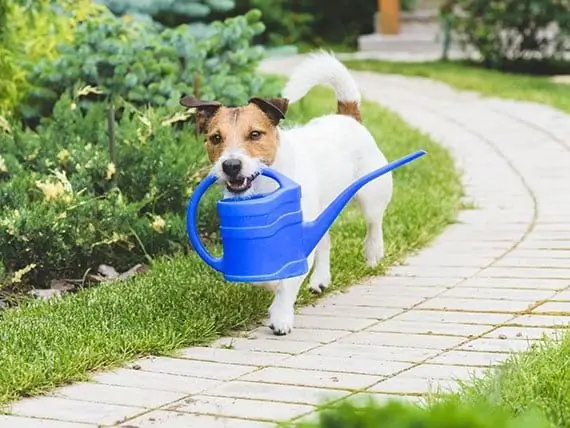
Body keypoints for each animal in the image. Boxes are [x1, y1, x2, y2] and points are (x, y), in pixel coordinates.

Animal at [181, 51, 390, 336]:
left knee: (374, 222)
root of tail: (347, 116)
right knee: (325, 240)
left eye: (254, 134)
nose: (231, 165)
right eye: (215, 138)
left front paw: (280, 316)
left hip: (371, 193)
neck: (263, 187)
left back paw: (373, 252)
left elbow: (288, 282)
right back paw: (321, 278)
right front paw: (271, 284)